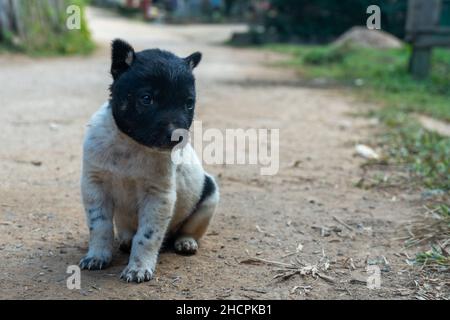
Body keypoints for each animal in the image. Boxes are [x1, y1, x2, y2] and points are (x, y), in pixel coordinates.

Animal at [79, 39, 220, 282]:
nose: (178, 137)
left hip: (208, 200)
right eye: (146, 99)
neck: (130, 145)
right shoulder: (94, 185)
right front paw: (97, 256)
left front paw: (138, 268)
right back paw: (125, 240)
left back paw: (186, 242)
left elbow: (147, 236)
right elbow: (100, 226)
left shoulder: (158, 196)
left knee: (188, 230)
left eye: (189, 103)